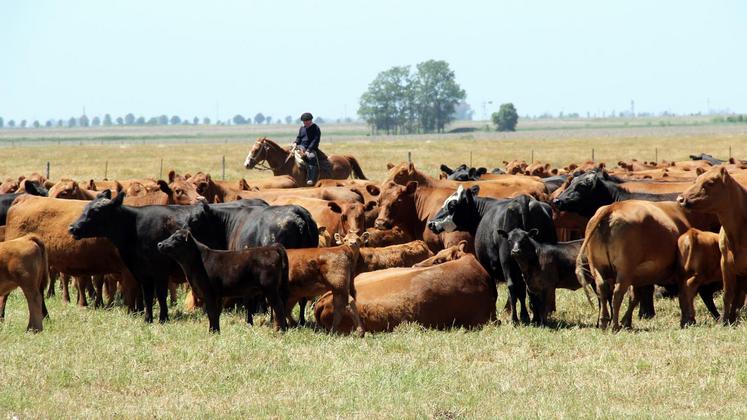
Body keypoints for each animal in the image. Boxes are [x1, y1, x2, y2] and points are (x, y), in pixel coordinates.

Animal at [156, 228, 288, 334]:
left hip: (270, 289)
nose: (160, 244)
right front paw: (216, 331)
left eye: (176, 238)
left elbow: (212, 313)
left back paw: (282, 331)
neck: (197, 261)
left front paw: (212, 332)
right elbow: (216, 314)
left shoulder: (209, 293)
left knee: (279, 307)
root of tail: (271, 247)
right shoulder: (218, 295)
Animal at [426, 188, 556, 324]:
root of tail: (523, 199)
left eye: (451, 205)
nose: (430, 223)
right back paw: (535, 317)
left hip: (507, 260)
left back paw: (516, 318)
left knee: (512, 286)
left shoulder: (488, 267)